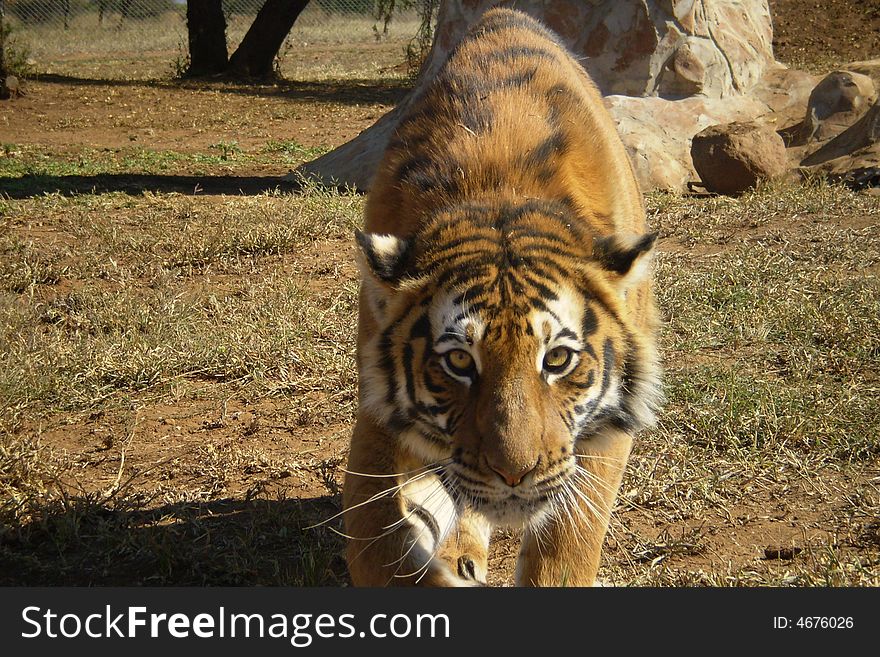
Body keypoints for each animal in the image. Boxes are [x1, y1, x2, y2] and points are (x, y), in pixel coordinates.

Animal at [342, 7, 660, 588]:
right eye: (458, 362)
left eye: (557, 359)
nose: (514, 474)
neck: (499, 190)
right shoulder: (376, 410)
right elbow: (375, 541)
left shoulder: (601, 437)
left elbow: (566, 548)